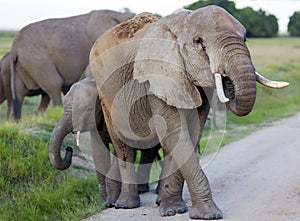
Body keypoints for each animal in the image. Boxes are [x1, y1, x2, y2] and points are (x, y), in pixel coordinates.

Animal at [48, 77, 162, 205]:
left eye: (88, 110)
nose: (69, 148)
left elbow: (121, 152)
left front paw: (111, 202)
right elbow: (99, 154)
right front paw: (102, 202)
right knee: (149, 151)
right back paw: (141, 189)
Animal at [88, 6, 290, 219]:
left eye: (245, 38)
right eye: (199, 42)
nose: (226, 80)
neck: (182, 21)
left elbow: (191, 133)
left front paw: (173, 209)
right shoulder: (157, 76)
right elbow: (175, 133)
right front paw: (208, 214)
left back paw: (157, 200)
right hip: (105, 95)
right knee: (123, 146)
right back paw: (125, 205)